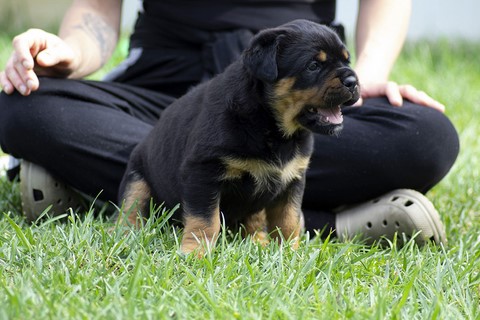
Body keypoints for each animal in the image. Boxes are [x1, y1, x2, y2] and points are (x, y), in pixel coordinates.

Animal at [116, 19, 358, 255]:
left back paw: (258, 242)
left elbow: (288, 220)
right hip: (137, 176)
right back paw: (124, 236)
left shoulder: (293, 179)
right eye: (313, 65)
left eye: (347, 61)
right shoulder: (202, 172)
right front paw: (195, 252)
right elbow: (205, 220)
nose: (353, 81)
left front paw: (291, 253)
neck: (272, 125)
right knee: (131, 207)